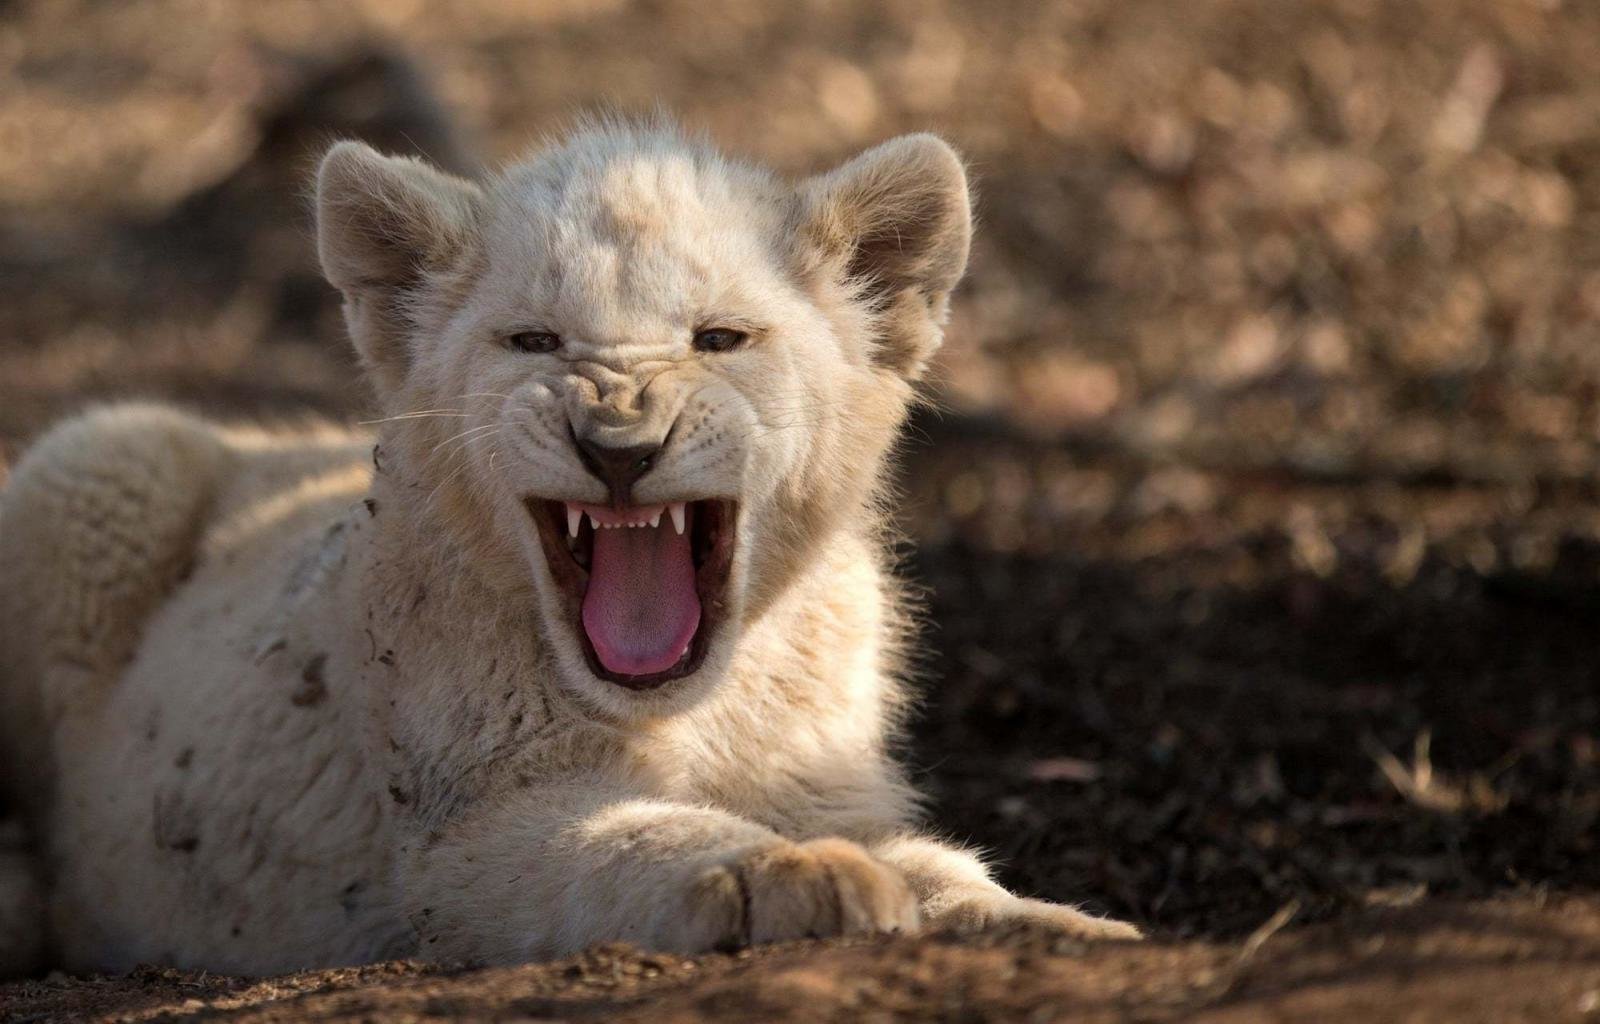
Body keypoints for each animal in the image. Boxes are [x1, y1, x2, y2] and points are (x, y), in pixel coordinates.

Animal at [0, 122, 1138, 975]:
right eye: (534, 341)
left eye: (719, 338)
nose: (618, 446)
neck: (700, 707)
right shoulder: (456, 836)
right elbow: (624, 839)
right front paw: (793, 876)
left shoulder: (830, 781)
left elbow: (949, 872)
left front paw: (1063, 925)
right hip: (100, 457)